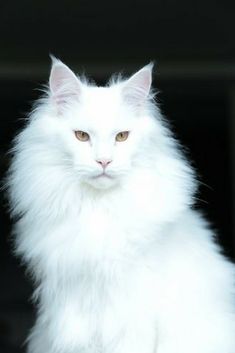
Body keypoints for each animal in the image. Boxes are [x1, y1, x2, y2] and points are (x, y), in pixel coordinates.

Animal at [6, 58, 234, 352]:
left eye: (122, 137)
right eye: (82, 136)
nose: (104, 161)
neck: (98, 207)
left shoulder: (131, 312)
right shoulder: (72, 308)